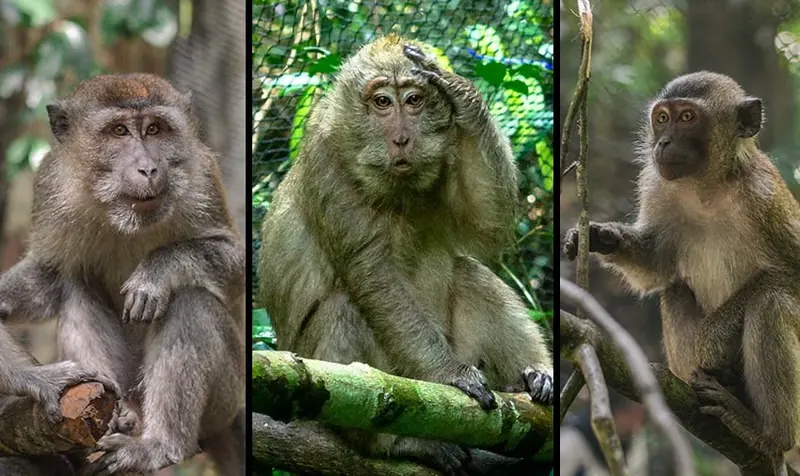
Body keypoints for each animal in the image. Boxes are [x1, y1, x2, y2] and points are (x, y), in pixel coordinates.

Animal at [0, 73, 245, 475]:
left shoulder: (202, 177)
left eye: (155, 129)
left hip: (226, 397)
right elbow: (48, 273)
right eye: (118, 131)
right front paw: (41, 379)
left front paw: (157, 272)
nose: (148, 168)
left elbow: (237, 266)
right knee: (76, 285)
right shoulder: (50, 189)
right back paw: (119, 417)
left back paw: (161, 445)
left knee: (192, 302)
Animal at [258, 34, 554, 475]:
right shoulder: (327, 164)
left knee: (470, 275)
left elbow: (489, 225)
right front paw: (450, 374)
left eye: (414, 100)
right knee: (344, 308)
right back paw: (396, 444)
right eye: (382, 102)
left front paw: (458, 89)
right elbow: (371, 271)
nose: (401, 139)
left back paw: (534, 376)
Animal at [563, 71, 800, 470]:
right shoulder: (657, 186)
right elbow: (657, 268)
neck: (708, 189)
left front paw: (711, 337)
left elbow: (784, 279)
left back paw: (769, 433)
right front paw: (600, 236)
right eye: (662, 118)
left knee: (772, 302)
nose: (665, 142)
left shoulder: (765, 198)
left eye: (688, 117)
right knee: (674, 288)